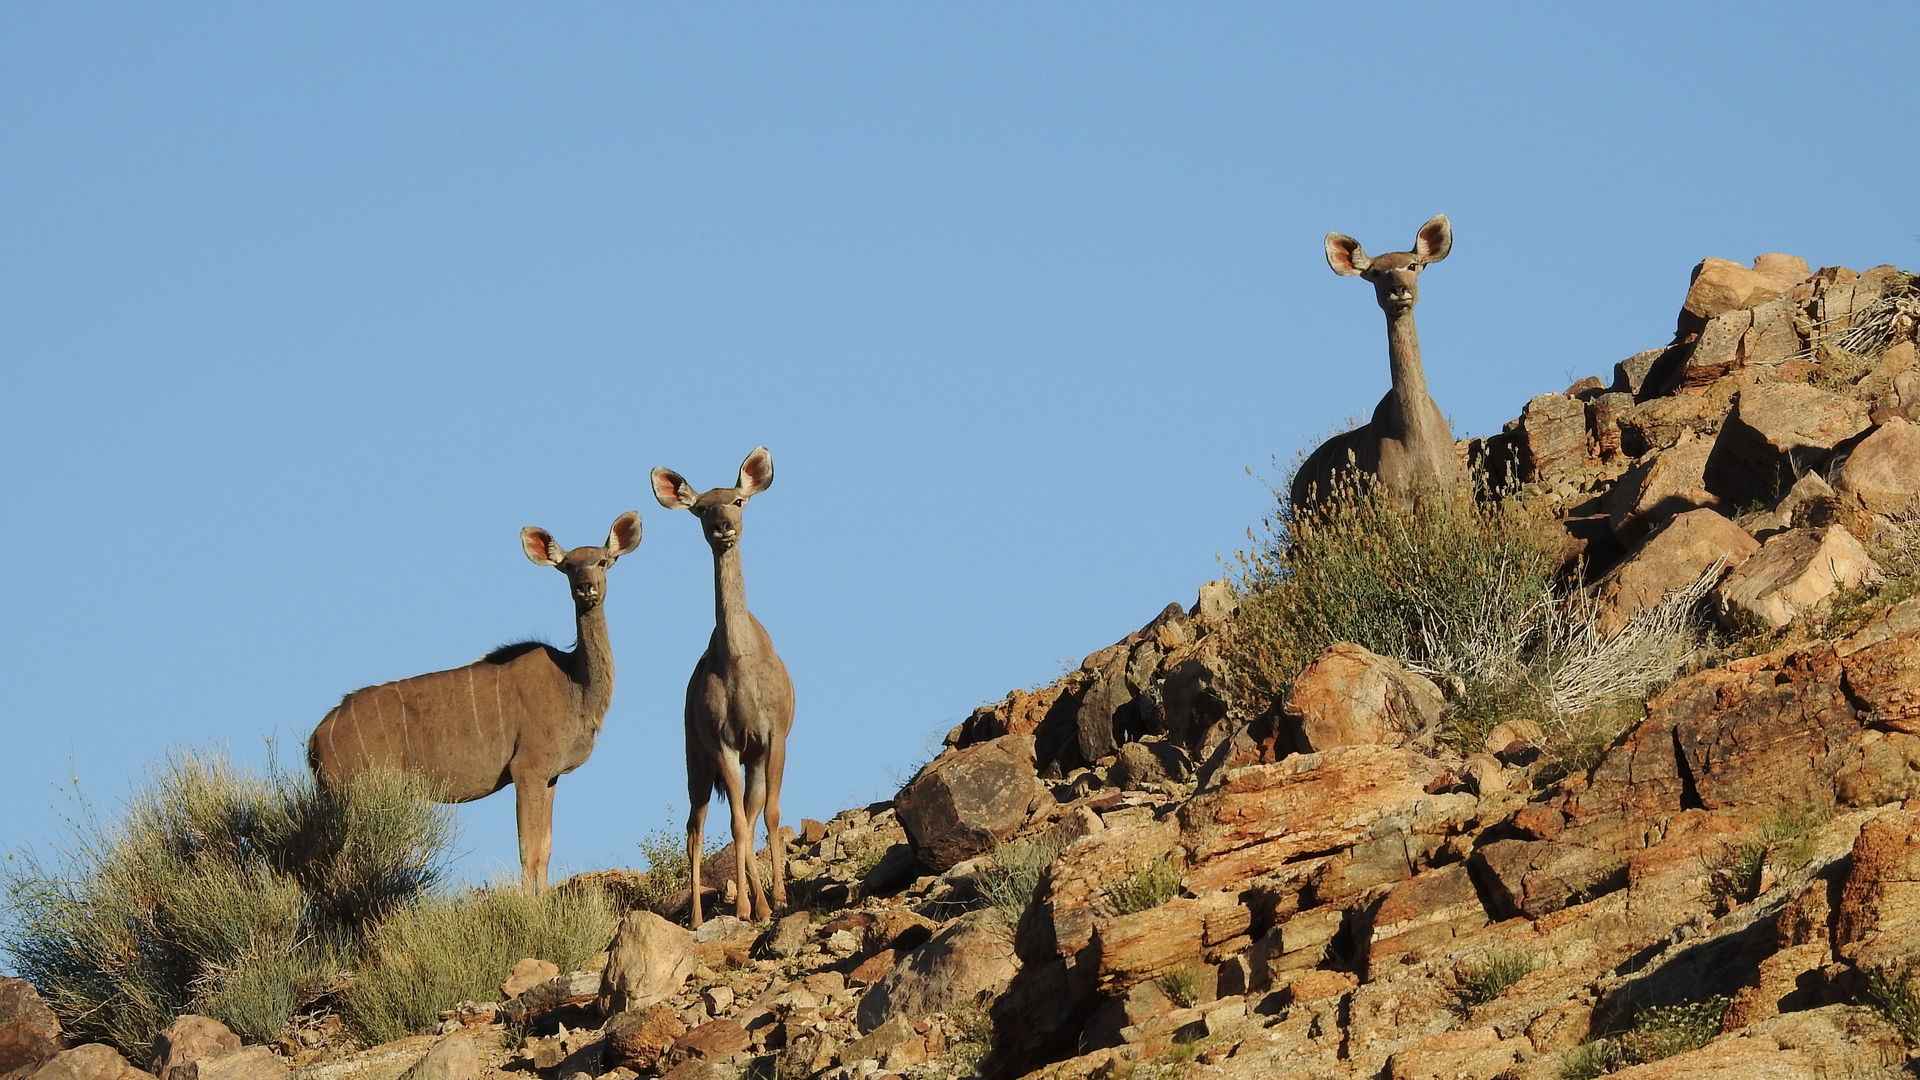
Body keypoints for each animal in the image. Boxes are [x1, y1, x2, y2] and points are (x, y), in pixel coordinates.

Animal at [307, 507, 645, 887]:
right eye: (569, 566)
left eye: (602, 561)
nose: (586, 588)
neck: (574, 683)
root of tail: (317, 736)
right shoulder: (527, 769)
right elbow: (529, 851)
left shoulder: (550, 777)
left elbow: (545, 849)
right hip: (354, 794)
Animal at [648, 441, 791, 922]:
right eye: (700, 509)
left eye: (738, 500)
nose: (722, 526)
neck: (739, 665)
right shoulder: (722, 739)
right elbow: (738, 823)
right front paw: (748, 906)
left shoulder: (773, 734)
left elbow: (768, 814)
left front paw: (778, 899)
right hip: (694, 753)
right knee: (697, 824)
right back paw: (697, 915)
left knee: (747, 812)